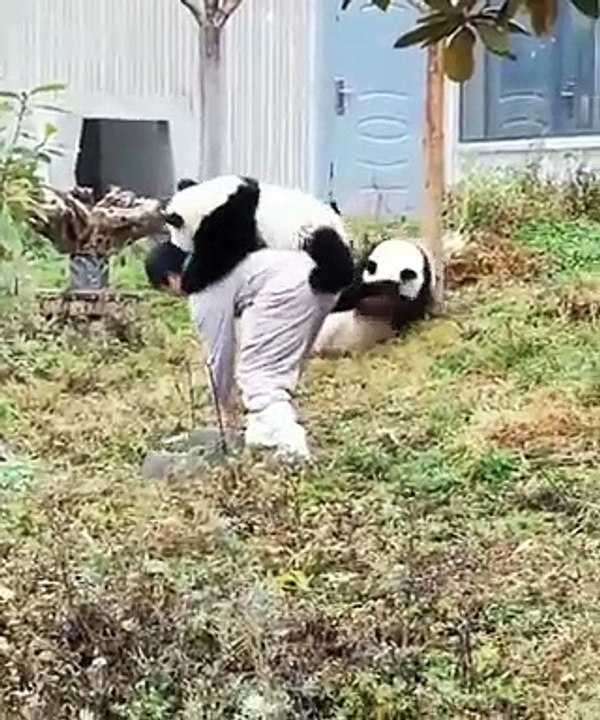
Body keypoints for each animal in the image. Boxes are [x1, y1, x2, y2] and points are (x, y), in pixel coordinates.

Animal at [160, 175, 355, 296]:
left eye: (173, 233)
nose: (175, 245)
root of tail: (341, 227)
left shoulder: (231, 218)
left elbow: (218, 254)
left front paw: (189, 281)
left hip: (310, 230)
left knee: (329, 251)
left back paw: (321, 278)